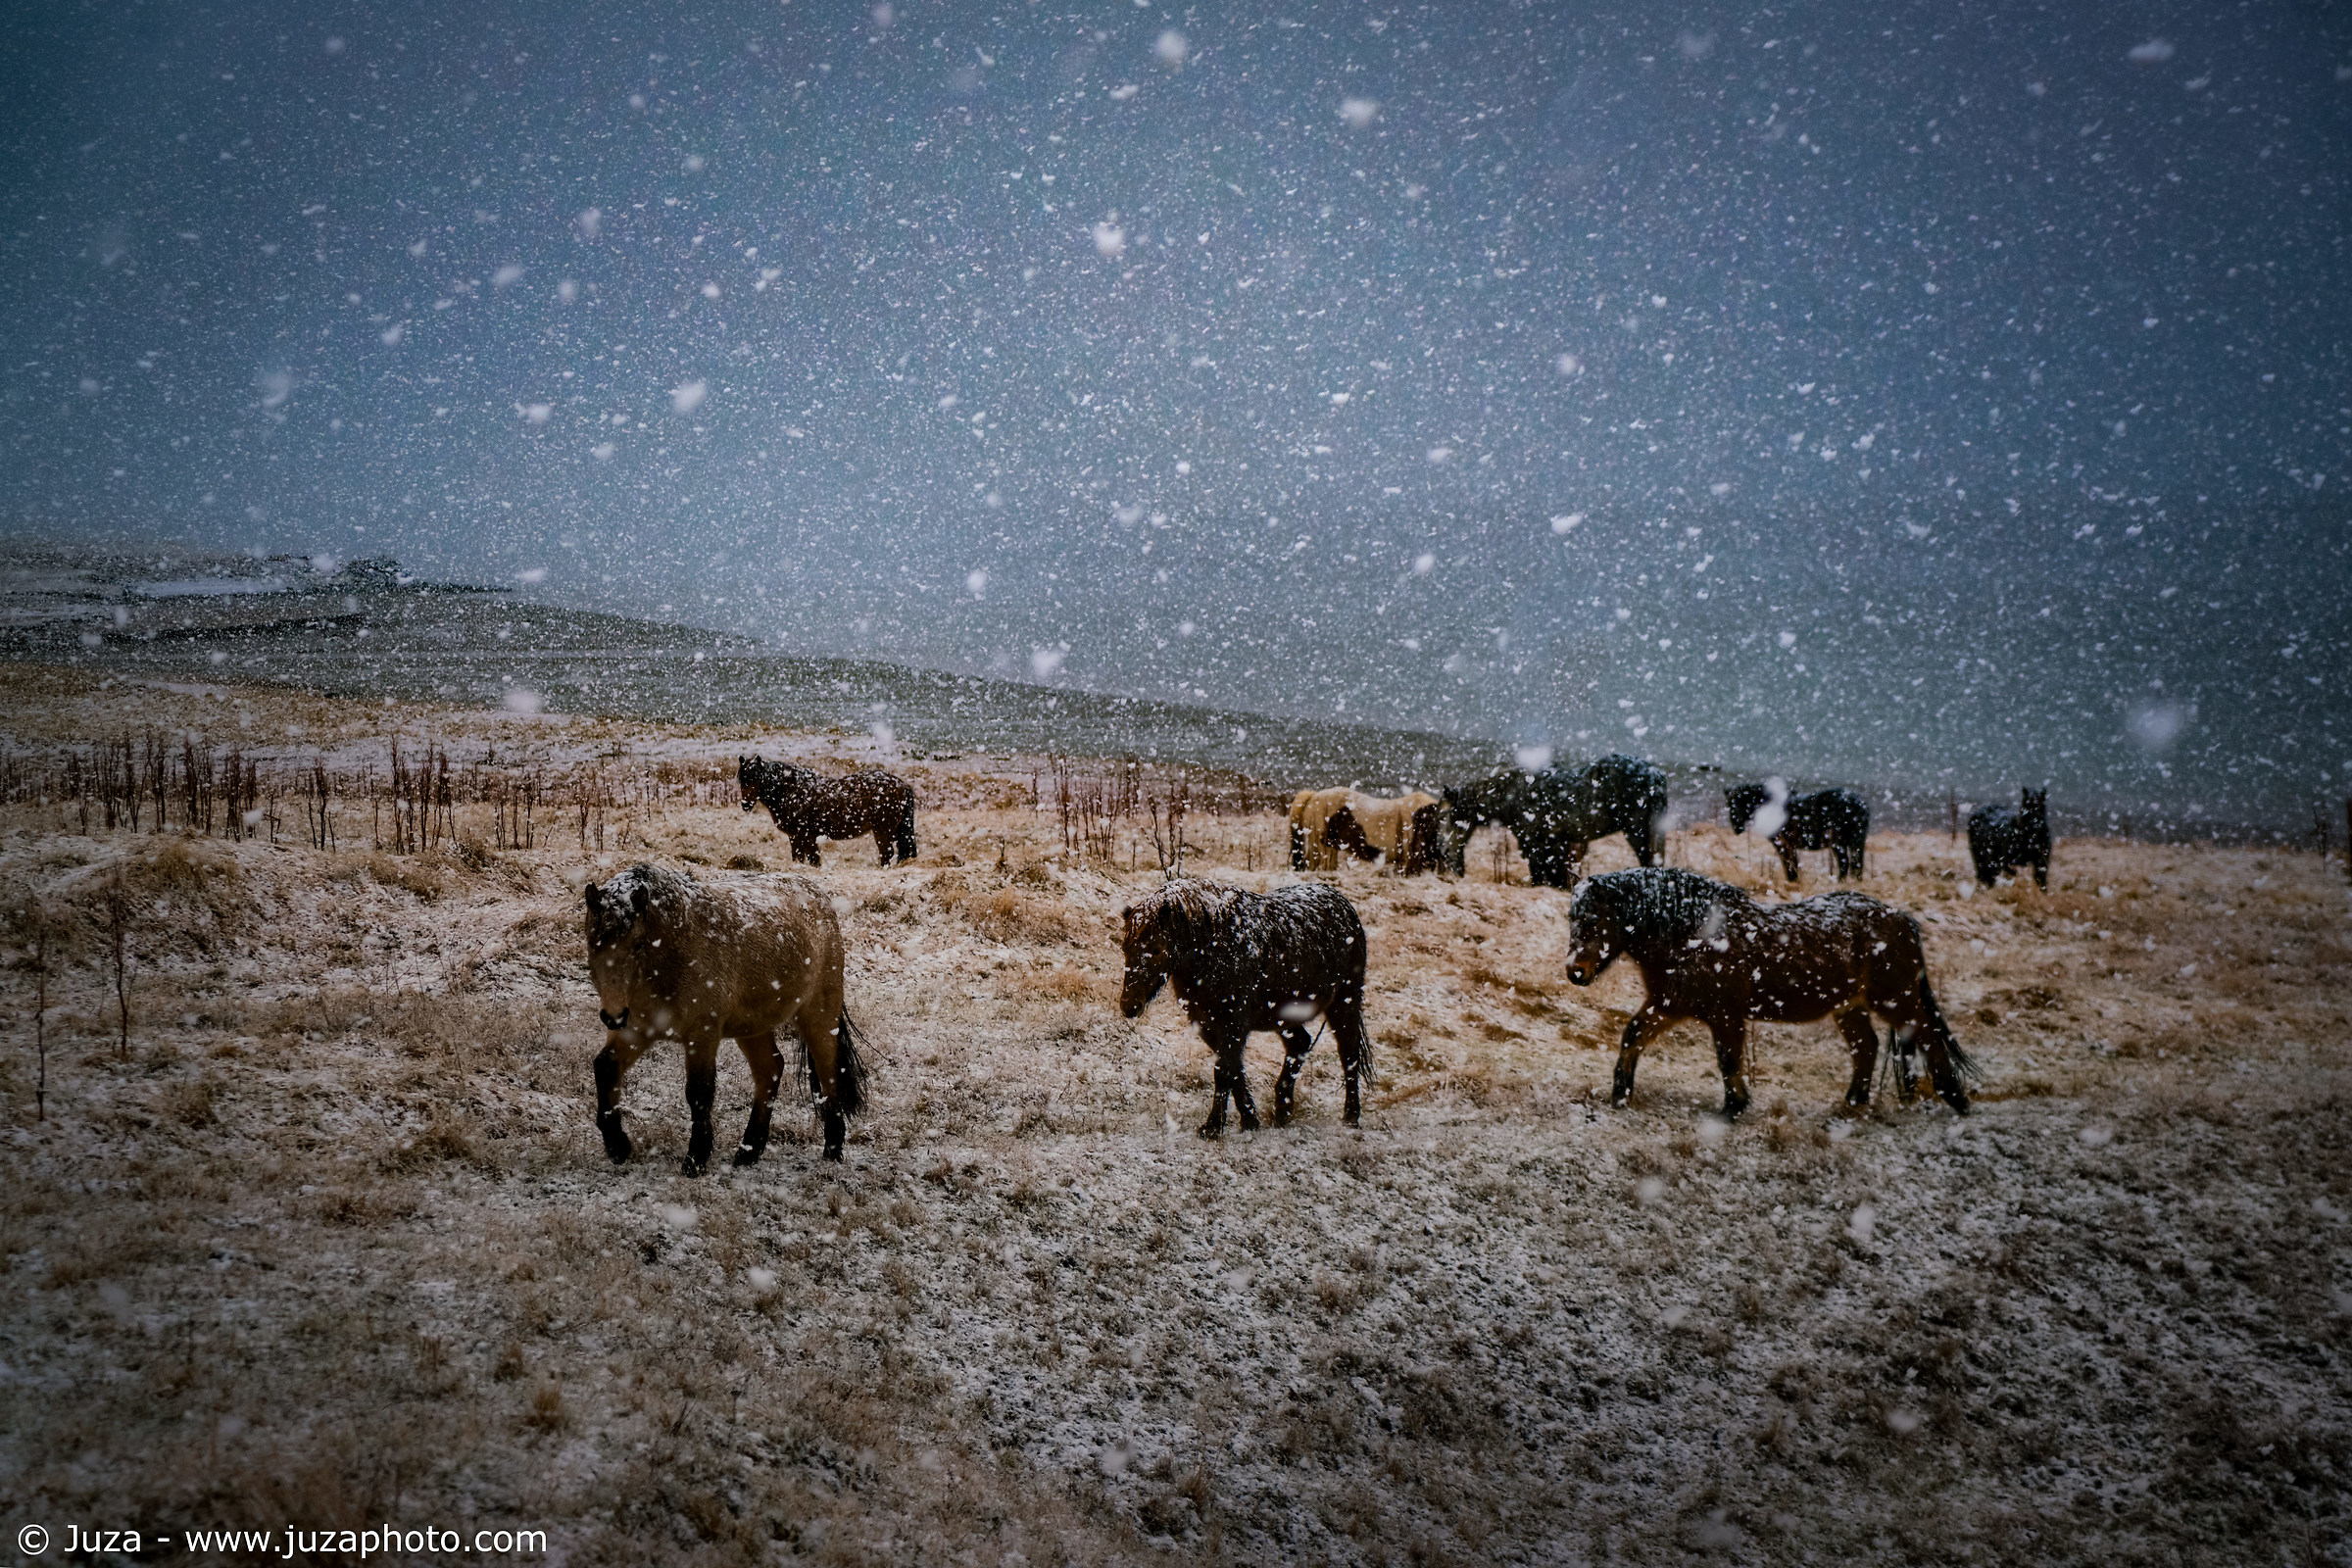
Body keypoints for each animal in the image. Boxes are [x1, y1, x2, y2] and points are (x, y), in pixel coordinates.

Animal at [584, 862, 869, 1169]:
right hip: (753, 1027)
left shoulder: (702, 1033)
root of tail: (821, 899)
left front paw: (695, 1158)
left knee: (829, 1073)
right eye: (592, 943)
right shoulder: (638, 1028)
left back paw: (832, 1149)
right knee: (770, 1069)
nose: (613, 1015)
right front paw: (618, 1146)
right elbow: (605, 1066)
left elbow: (699, 1092)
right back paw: (748, 1151)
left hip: (818, 1015)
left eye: (637, 944)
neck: (672, 945)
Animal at [739, 754, 918, 867]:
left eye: (756, 777)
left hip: (883, 830)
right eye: (741, 779)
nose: (745, 804)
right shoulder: (795, 837)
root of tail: (902, 784)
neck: (792, 790)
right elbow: (800, 859)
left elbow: (812, 860)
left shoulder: (805, 835)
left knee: (886, 854)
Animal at [1119, 879, 1374, 1135]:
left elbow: (1224, 1071)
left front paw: (1213, 1127)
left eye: (1157, 949)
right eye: (1125, 948)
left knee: (1349, 1054)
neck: (1214, 950)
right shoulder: (1207, 1024)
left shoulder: (1233, 1023)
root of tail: (1343, 903)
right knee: (1300, 1043)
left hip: (1344, 1002)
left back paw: (1351, 1116)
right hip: (1285, 1016)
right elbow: (1233, 1070)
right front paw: (1249, 1119)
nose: (1129, 1006)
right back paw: (1283, 1111)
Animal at [1562, 867, 1975, 1120]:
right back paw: (1852, 1103)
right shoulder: (1668, 1005)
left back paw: (1956, 1098)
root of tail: (1901, 919)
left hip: (1895, 1000)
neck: (1695, 934)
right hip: (1849, 1007)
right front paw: (1621, 1094)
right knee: (1867, 1046)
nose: (1574, 971)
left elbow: (1728, 1060)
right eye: (1571, 919)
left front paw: (1734, 1108)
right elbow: (1632, 1036)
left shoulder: (1724, 1015)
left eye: (1593, 919)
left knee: (1926, 1036)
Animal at [1726, 782, 1870, 882]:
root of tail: (1861, 804)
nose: (1736, 828)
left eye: (1740, 803)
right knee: (1857, 865)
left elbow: (1790, 867)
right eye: (1729, 804)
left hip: (1839, 843)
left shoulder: (1783, 845)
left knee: (1845, 864)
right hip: (1856, 842)